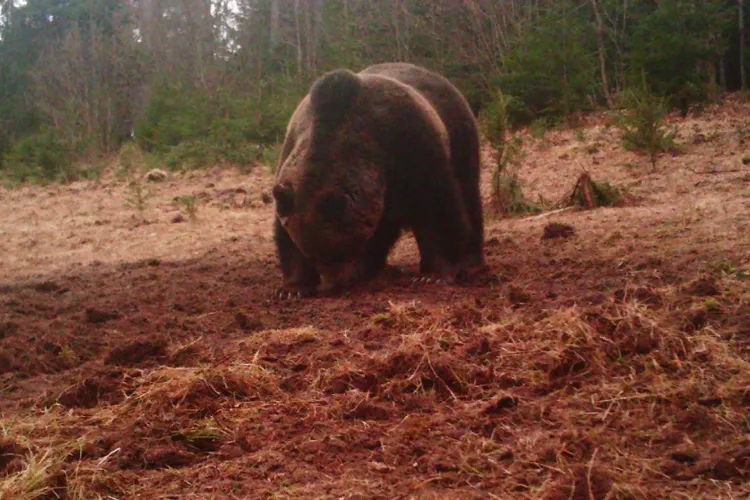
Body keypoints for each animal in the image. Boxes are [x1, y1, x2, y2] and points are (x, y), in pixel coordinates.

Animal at [274, 61, 484, 296]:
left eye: (339, 250)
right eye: (313, 255)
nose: (332, 286)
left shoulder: (412, 144)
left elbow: (436, 211)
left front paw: (433, 274)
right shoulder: (292, 154)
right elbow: (286, 237)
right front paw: (294, 287)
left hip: (460, 139)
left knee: (469, 195)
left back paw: (472, 261)